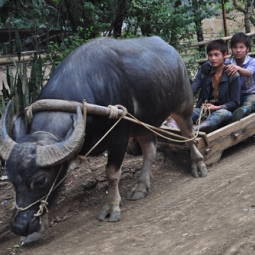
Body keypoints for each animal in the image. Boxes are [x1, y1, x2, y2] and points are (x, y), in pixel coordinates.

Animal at [0, 35, 207, 241]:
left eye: (40, 180)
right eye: (11, 179)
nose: (19, 226)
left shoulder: (119, 138)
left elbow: (112, 174)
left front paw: (112, 207)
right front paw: (39, 228)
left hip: (183, 106)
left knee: (189, 136)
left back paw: (198, 165)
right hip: (143, 124)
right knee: (150, 148)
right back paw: (141, 186)